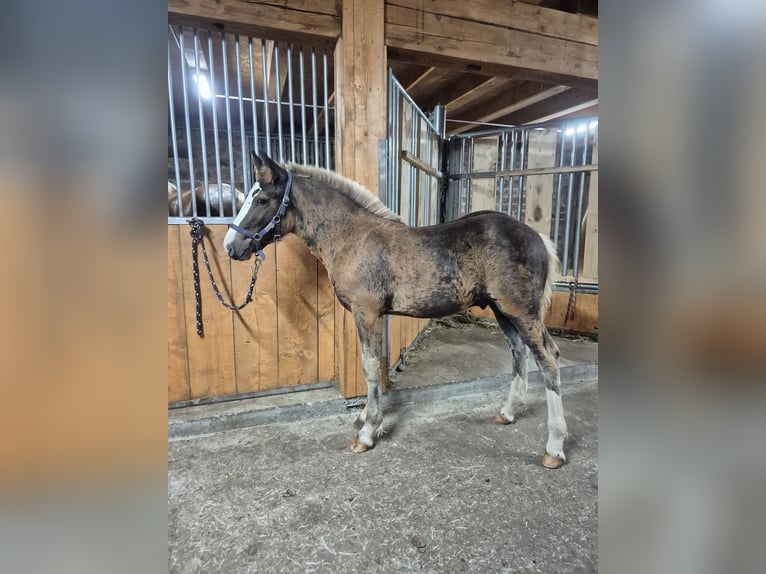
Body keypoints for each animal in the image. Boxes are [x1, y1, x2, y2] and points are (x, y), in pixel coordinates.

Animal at [223, 154, 568, 469]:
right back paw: (507, 413)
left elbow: (371, 366)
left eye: (262, 199)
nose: (230, 246)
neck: (349, 237)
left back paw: (554, 447)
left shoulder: (367, 312)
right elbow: (374, 365)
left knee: (548, 358)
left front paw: (368, 431)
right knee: (520, 353)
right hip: (502, 310)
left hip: (521, 310)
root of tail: (539, 238)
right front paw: (365, 416)